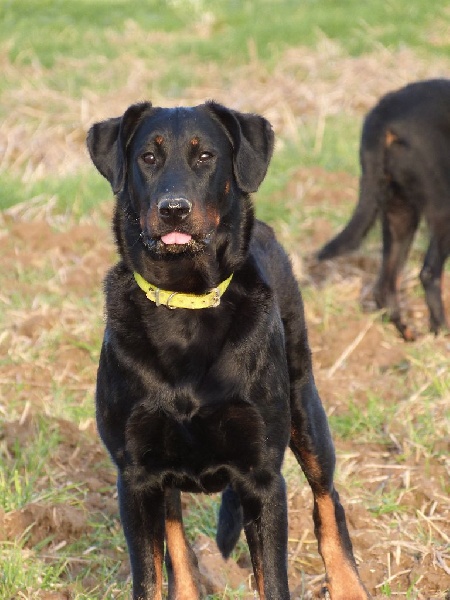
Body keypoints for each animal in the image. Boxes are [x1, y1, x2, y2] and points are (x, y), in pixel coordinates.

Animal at [87, 101, 370, 596]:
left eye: (205, 157)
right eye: (147, 157)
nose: (174, 209)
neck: (185, 302)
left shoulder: (262, 476)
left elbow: (273, 579)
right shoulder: (136, 476)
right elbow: (152, 573)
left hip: (303, 401)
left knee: (326, 498)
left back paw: (349, 585)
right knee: (177, 540)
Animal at [316, 78, 450, 342]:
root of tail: (383, 116)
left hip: (398, 212)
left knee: (384, 288)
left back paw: (408, 333)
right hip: (441, 208)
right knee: (428, 273)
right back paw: (440, 332)